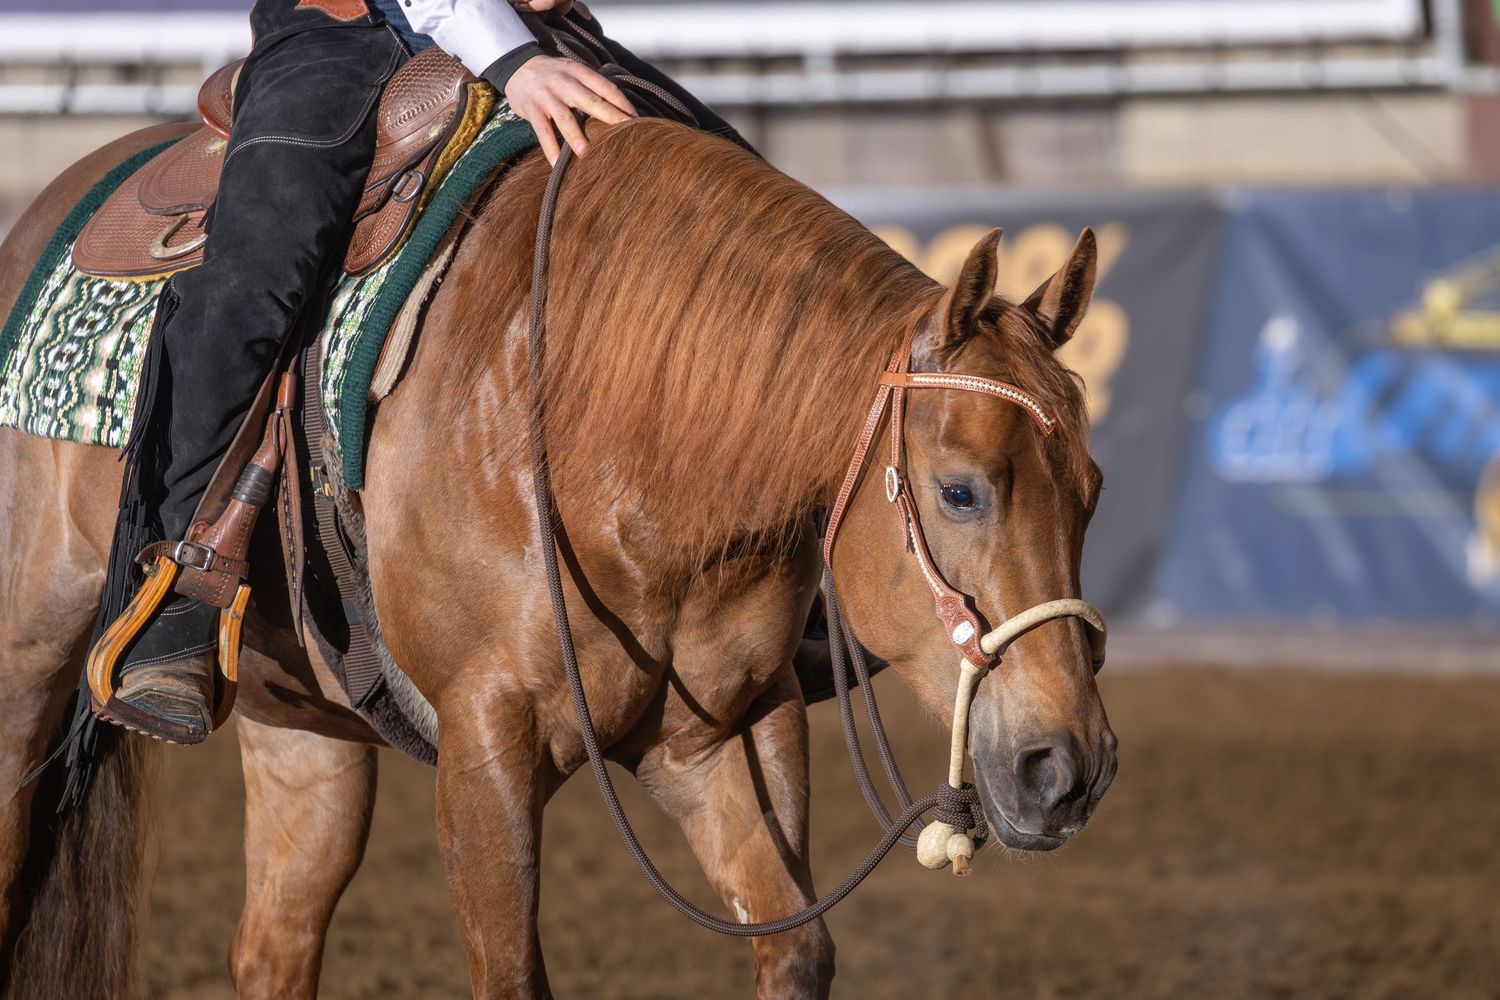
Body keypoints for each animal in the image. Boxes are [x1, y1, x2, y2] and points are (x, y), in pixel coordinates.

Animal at [0, 116, 1116, 998]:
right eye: (960, 489)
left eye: (1093, 492)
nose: (1067, 767)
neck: (598, 417)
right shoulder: (485, 745)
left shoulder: (720, 736)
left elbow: (797, 947)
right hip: (29, 668)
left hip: (305, 729)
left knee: (273, 947)